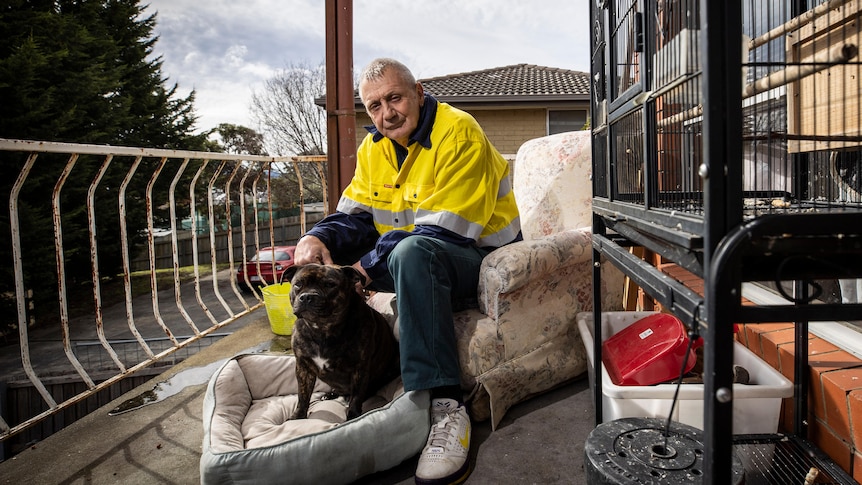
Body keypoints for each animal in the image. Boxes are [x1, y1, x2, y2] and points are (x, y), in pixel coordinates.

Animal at [286, 262, 404, 418]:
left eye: (330, 284)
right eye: (298, 284)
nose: (306, 297)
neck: (322, 328)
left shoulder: (359, 368)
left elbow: (356, 396)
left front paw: (353, 416)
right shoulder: (303, 367)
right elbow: (303, 395)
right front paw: (298, 416)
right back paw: (330, 394)